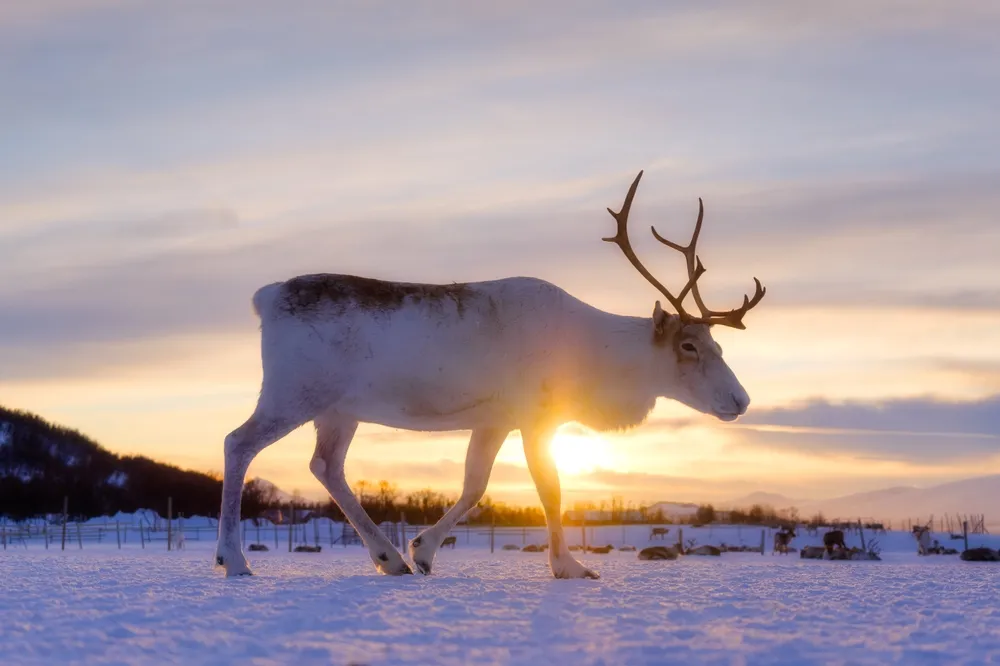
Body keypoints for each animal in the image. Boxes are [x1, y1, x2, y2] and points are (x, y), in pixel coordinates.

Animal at [214, 170, 766, 580]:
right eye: (689, 345)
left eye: (717, 343)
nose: (741, 400)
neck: (594, 358)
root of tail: (264, 298)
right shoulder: (536, 416)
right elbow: (550, 487)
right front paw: (569, 566)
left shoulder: (494, 418)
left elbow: (475, 485)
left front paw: (423, 550)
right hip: (293, 391)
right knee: (238, 442)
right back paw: (234, 559)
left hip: (338, 409)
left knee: (326, 466)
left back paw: (389, 558)